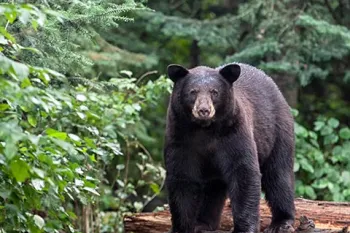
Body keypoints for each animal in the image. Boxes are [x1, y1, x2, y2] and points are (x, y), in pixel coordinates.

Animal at [164, 62, 296, 233]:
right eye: (193, 91)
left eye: (214, 92)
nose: (204, 110)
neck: (204, 129)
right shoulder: (180, 137)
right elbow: (182, 177)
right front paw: (182, 227)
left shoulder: (233, 132)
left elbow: (243, 172)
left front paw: (244, 228)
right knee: (213, 187)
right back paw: (204, 224)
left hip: (277, 131)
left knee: (278, 175)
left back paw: (281, 222)